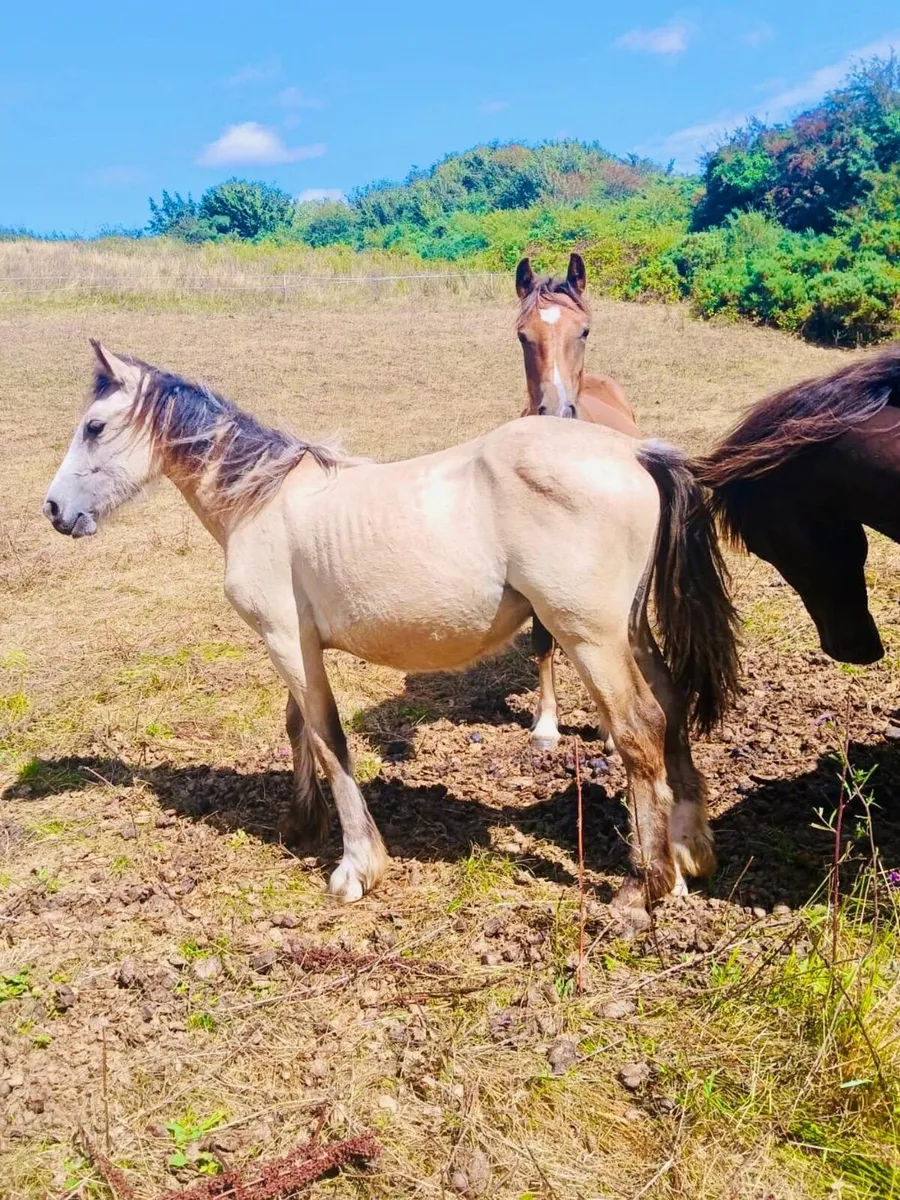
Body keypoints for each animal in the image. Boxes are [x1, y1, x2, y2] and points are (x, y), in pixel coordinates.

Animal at [43, 341, 739, 914]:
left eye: (94, 426)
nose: (54, 510)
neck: (259, 499)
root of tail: (635, 452)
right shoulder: (295, 645)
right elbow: (298, 728)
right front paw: (302, 826)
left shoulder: (285, 641)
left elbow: (328, 738)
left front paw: (357, 867)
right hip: (629, 633)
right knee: (672, 707)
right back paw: (688, 854)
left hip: (589, 638)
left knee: (638, 730)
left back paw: (641, 889)